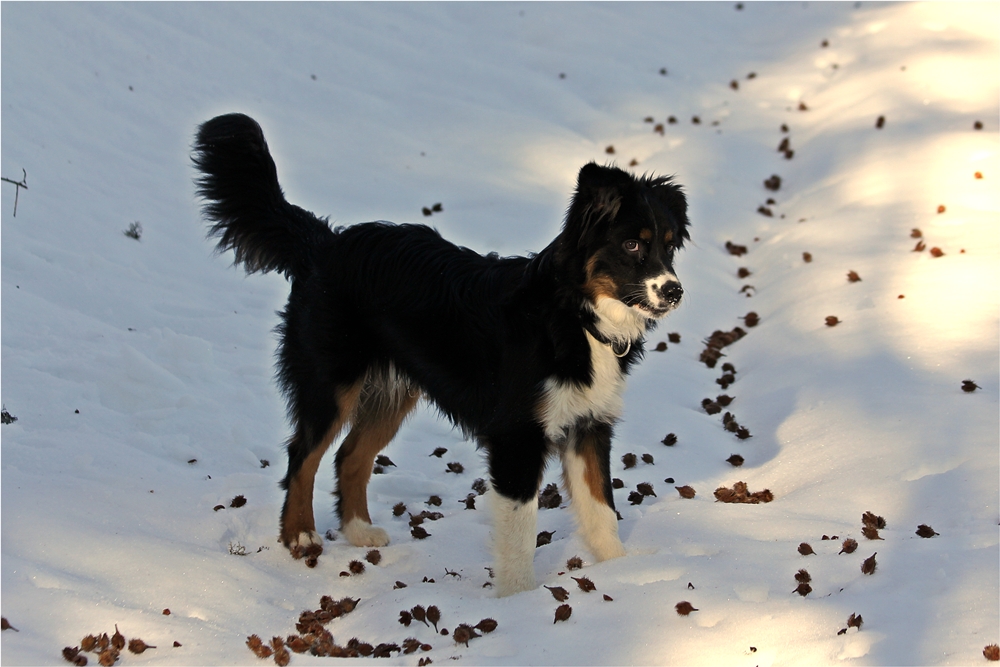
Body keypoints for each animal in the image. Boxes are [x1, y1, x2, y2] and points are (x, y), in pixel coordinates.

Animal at [194, 113, 688, 596]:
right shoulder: (517, 436)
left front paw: (621, 575)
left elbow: (601, 510)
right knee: (303, 454)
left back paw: (359, 531)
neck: (573, 314)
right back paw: (298, 535)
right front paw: (519, 603)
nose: (674, 291)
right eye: (632, 244)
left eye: (668, 244)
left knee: (349, 456)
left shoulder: (589, 424)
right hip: (330, 381)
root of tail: (325, 243)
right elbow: (520, 534)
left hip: (392, 391)